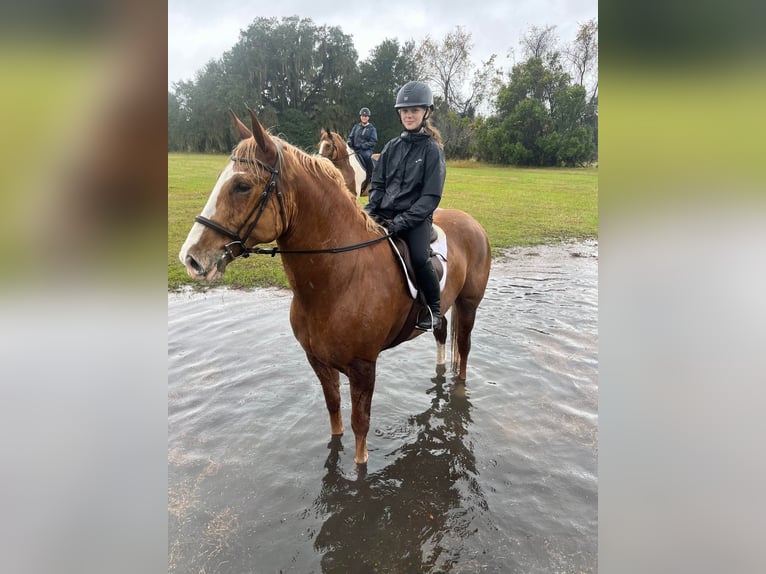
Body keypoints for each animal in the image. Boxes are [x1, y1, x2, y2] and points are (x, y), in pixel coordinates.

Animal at [180, 109, 492, 468]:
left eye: (242, 185)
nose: (191, 258)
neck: (338, 279)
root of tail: (473, 223)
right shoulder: (318, 361)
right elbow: (334, 416)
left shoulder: (363, 368)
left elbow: (360, 430)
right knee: (442, 334)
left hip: (469, 305)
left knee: (464, 350)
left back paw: (459, 389)